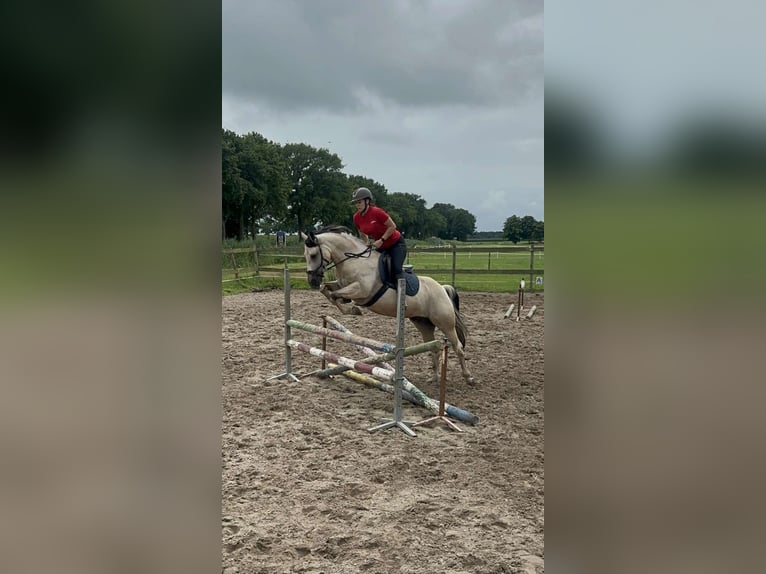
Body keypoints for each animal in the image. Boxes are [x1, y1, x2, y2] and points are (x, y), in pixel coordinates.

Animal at [300, 226, 475, 385]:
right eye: (305, 255)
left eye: (314, 255)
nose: (312, 281)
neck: (355, 260)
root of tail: (442, 289)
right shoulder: (341, 284)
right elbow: (327, 290)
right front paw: (348, 306)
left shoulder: (361, 290)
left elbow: (335, 295)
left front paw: (353, 309)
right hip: (423, 324)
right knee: (434, 348)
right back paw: (435, 378)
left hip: (445, 324)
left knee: (458, 347)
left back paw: (468, 377)